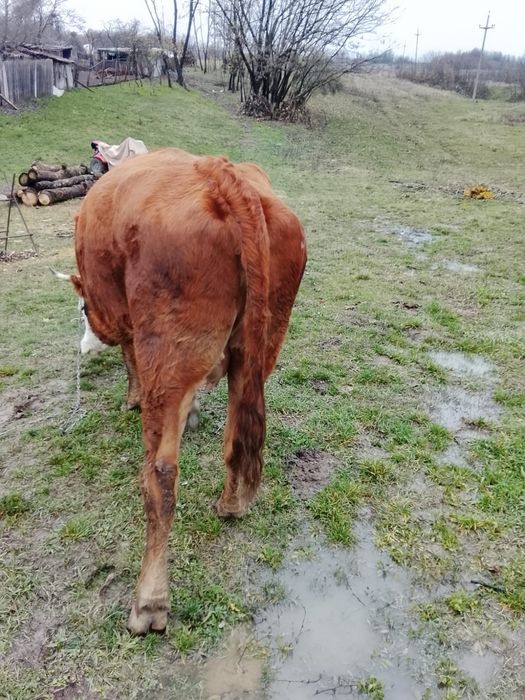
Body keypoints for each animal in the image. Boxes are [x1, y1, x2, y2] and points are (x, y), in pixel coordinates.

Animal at [59, 148, 307, 634]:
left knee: (160, 476)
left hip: (166, 354)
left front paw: (130, 399)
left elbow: (129, 359)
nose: (83, 344)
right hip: (259, 348)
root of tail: (220, 175)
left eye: (82, 308)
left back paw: (149, 602)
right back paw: (230, 505)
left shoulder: (129, 325)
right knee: (236, 439)